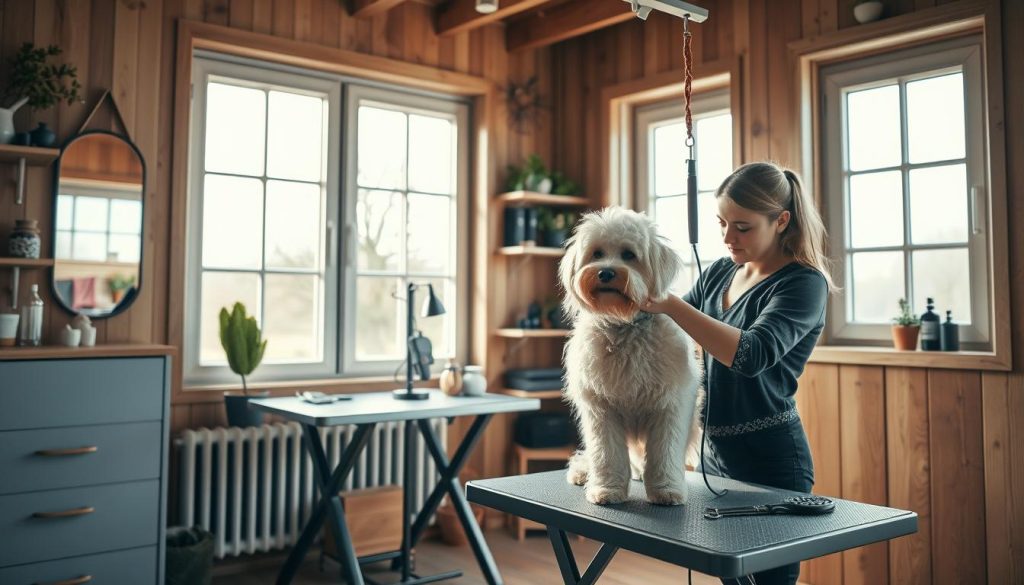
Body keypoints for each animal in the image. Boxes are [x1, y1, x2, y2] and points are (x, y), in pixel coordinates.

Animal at [557, 207, 700, 506]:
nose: (606, 273)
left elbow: (664, 452)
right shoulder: (601, 409)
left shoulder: (668, 407)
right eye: (597, 253)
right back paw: (584, 472)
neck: (624, 326)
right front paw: (607, 489)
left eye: (629, 255)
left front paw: (666, 490)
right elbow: (606, 454)